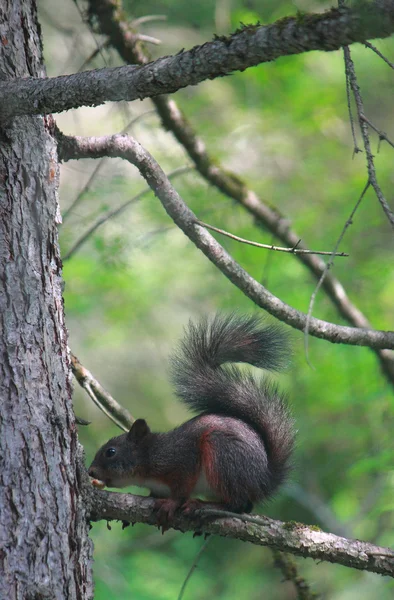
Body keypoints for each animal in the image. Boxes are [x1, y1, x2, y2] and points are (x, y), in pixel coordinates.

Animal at [87, 314, 294, 524]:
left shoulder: (181, 460)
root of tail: (264, 481)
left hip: (223, 456)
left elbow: (182, 488)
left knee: (237, 504)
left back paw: (201, 505)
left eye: (111, 452)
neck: (149, 456)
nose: (90, 472)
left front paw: (171, 504)